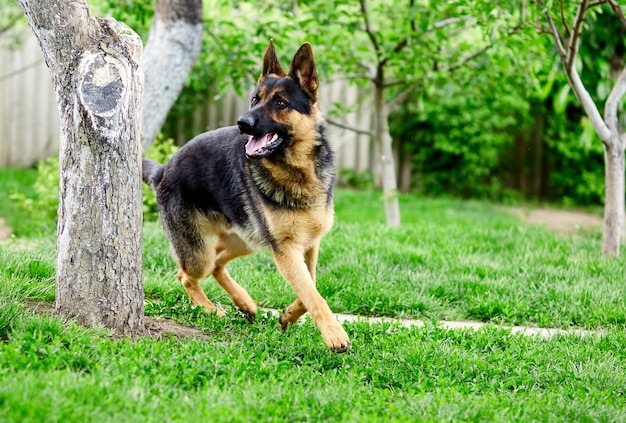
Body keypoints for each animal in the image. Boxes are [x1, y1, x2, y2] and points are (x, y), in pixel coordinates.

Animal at [143, 41, 352, 352]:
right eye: (255, 99)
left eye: (280, 103)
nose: (242, 122)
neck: (298, 170)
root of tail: (164, 169)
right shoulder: (285, 250)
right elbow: (312, 293)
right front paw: (334, 334)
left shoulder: (307, 245)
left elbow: (310, 287)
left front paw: (288, 316)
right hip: (199, 252)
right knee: (187, 274)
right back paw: (210, 309)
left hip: (246, 240)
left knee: (217, 263)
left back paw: (244, 303)